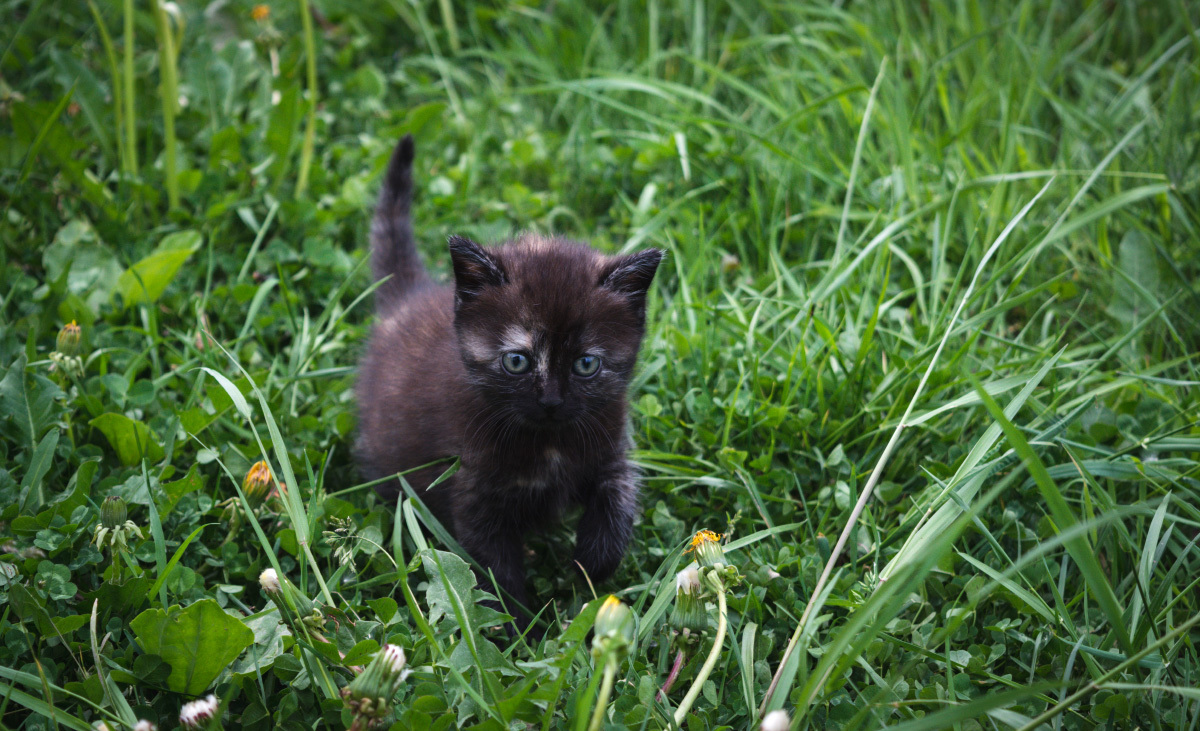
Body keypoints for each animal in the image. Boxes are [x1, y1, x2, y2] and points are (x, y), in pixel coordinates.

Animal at [352, 135, 667, 619]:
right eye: (517, 361)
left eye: (586, 364)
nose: (551, 401)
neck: (549, 442)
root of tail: (408, 298)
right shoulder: (473, 488)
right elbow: (495, 573)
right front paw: (523, 627)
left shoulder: (611, 447)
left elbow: (619, 497)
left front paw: (592, 564)